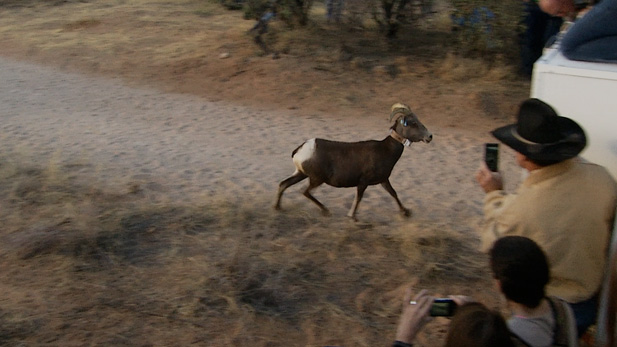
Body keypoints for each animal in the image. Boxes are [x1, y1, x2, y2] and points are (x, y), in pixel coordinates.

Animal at [274, 103, 434, 220]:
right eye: (413, 123)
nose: (429, 136)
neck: (385, 150)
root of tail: (300, 150)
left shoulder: (384, 180)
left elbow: (394, 194)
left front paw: (406, 212)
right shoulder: (363, 182)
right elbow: (359, 198)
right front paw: (352, 217)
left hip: (301, 174)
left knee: (283, 184)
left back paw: (278, 208)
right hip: (316, 179)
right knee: (304, 191)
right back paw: (326, 211)